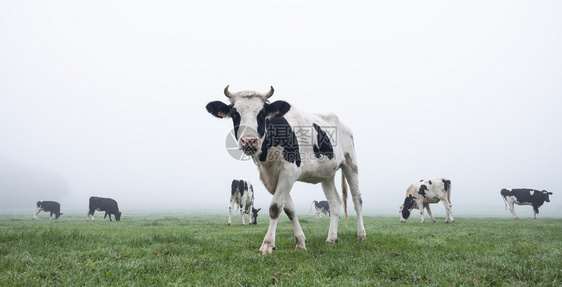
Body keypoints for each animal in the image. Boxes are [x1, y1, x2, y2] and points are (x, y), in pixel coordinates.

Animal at [203, 85, 366, 254]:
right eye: (235, 113)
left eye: (262, 113)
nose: (249, 140)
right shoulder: (271, 178)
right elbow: (289, 209)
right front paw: (300, 242)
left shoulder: (289, 172)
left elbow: (275, 207)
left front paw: (267, 244)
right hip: (327, 173)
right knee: (334, 202)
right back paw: (332, 238)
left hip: (350, 163)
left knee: (357, 199)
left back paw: (361, 235)